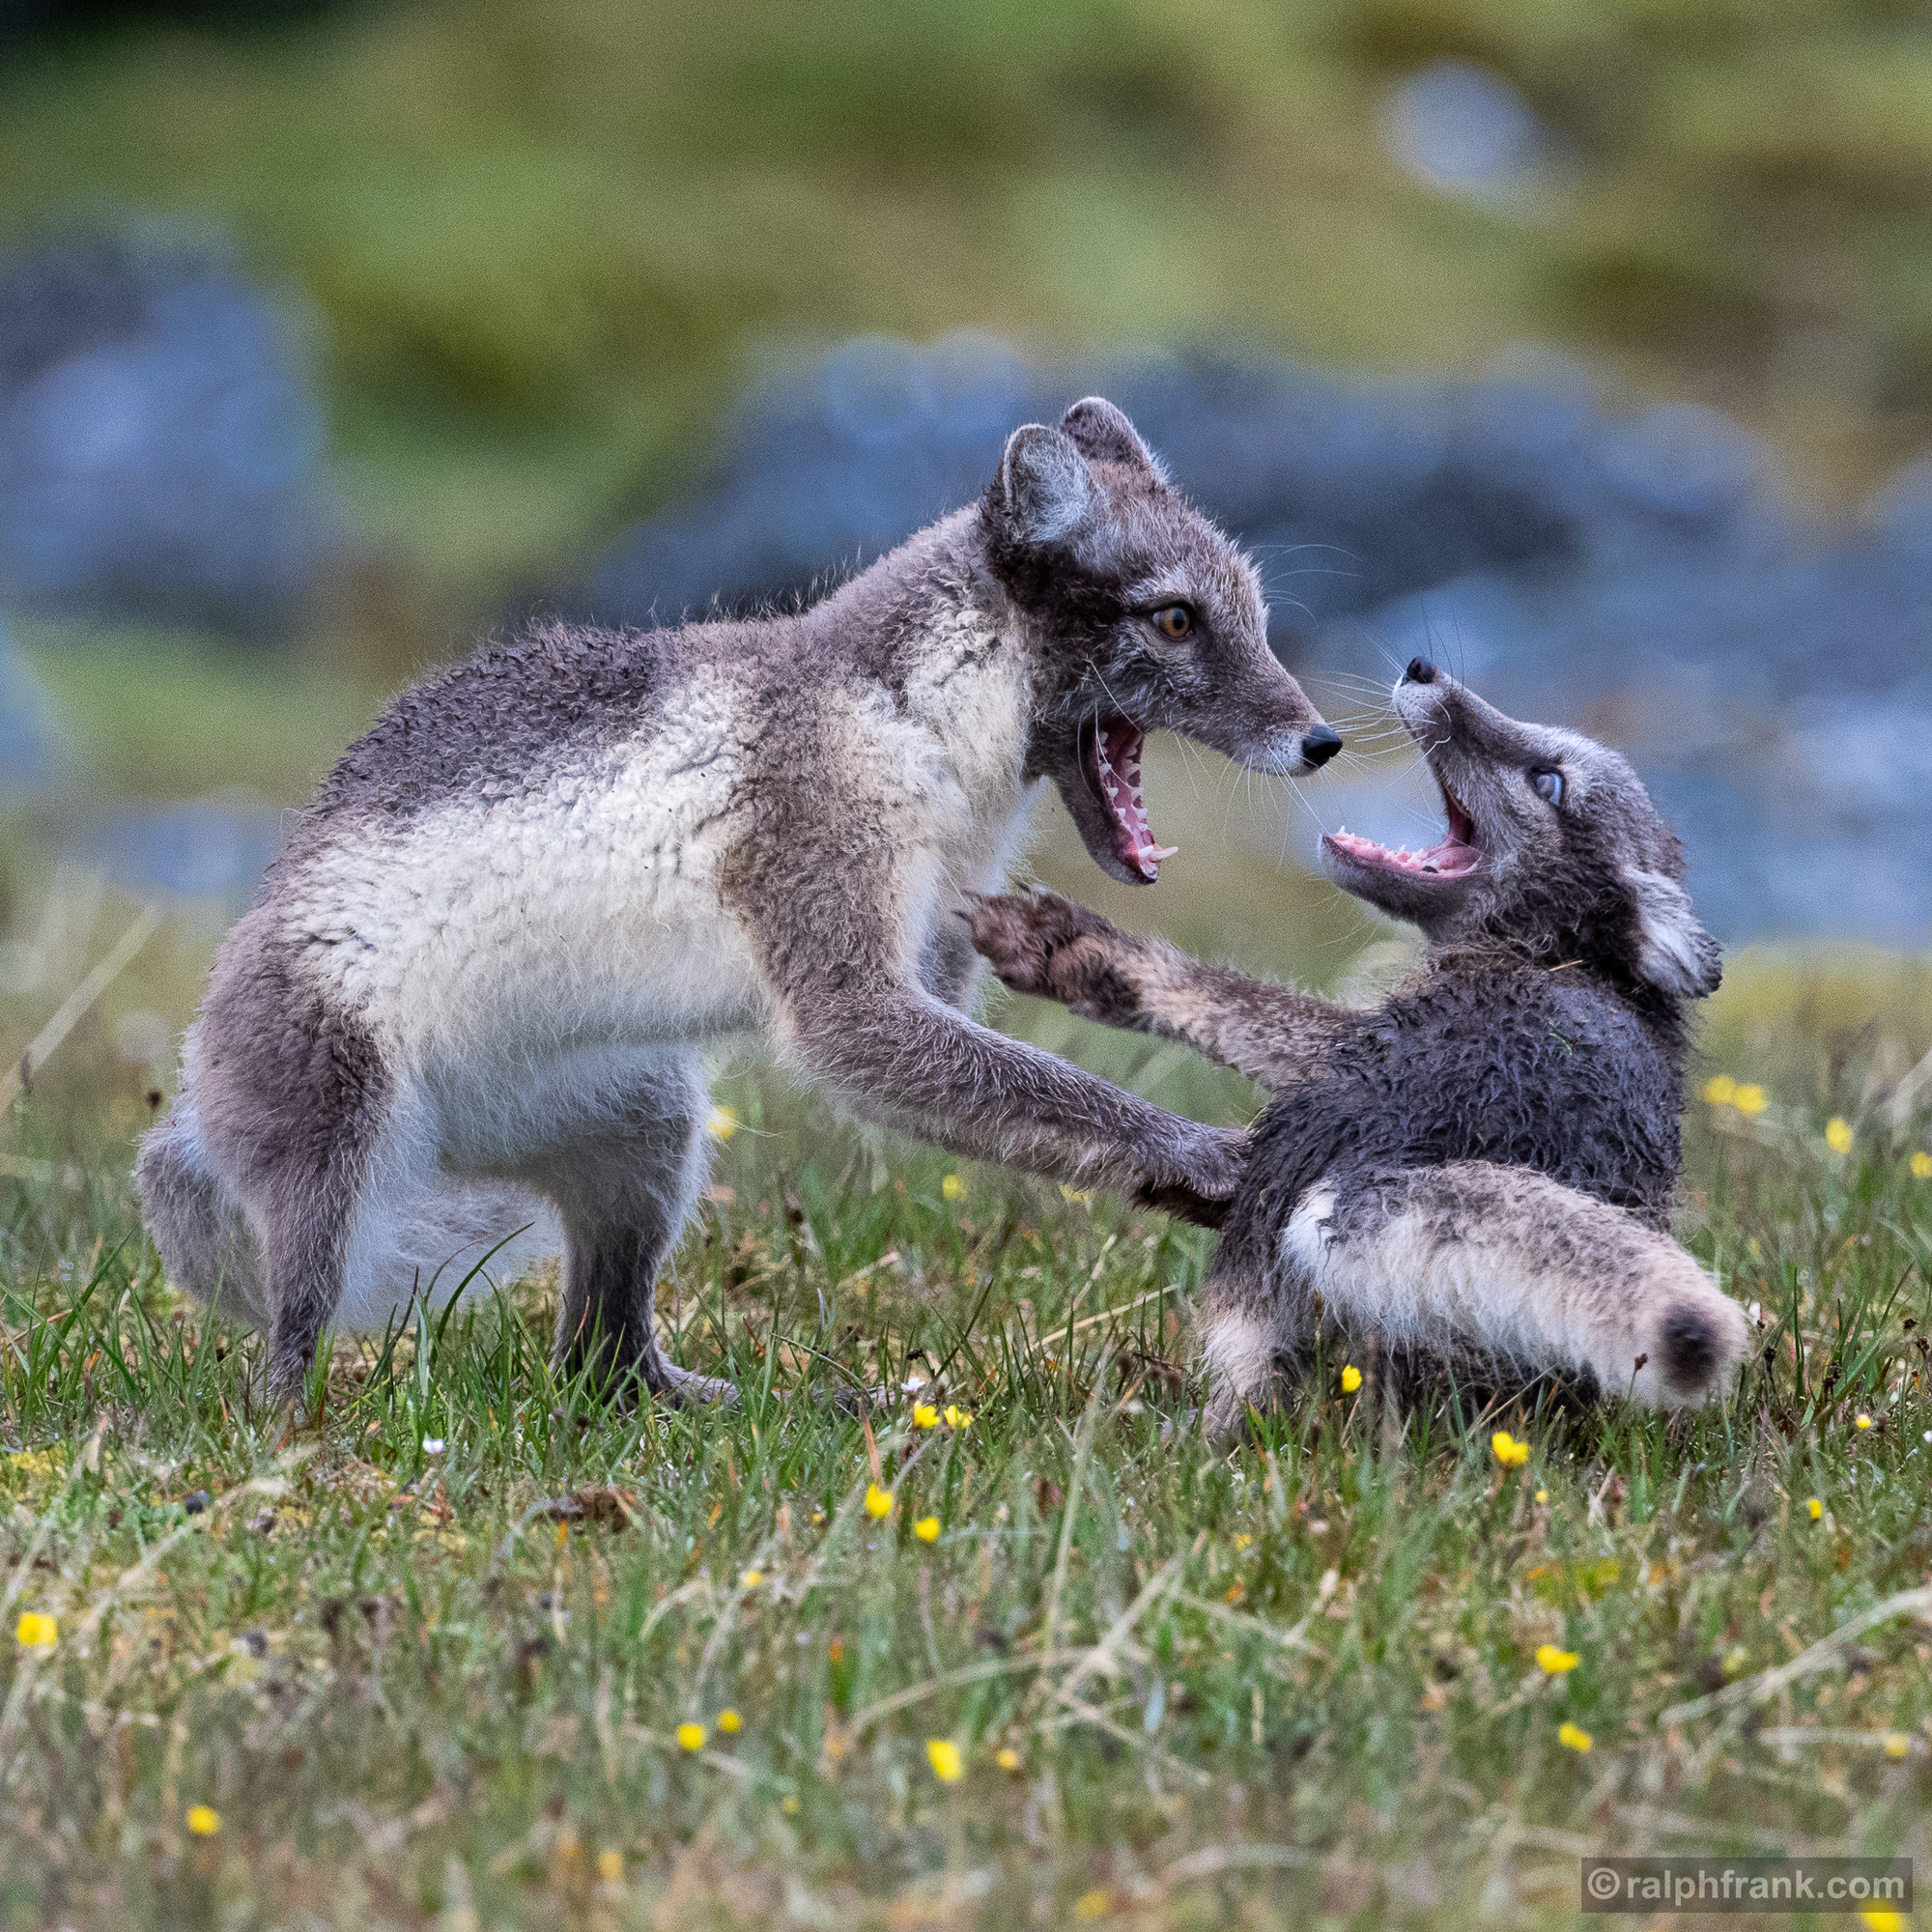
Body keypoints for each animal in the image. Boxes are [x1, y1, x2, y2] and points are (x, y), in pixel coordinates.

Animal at [136, 398, 1342, 1405]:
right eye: (1174, 618)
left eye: (1252, 612)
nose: (1321, 739)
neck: (912, 713)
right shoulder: (833, 934)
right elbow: (1015, 1078)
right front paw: (1204, 1155)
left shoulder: (924, 934)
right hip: (332, 1126)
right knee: (298, 1322)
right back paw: (290, 1429)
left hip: (643, 1126)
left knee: (600, 1354)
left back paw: (733, 1402)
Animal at [969, 658, 1752, 1437]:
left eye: (1548, 782)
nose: (1424, 666)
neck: (1571, 963)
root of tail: (1391, 1148)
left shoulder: (1342, 1042)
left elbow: (1233, 1005)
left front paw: (1097, 959)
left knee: (1241, 1388)